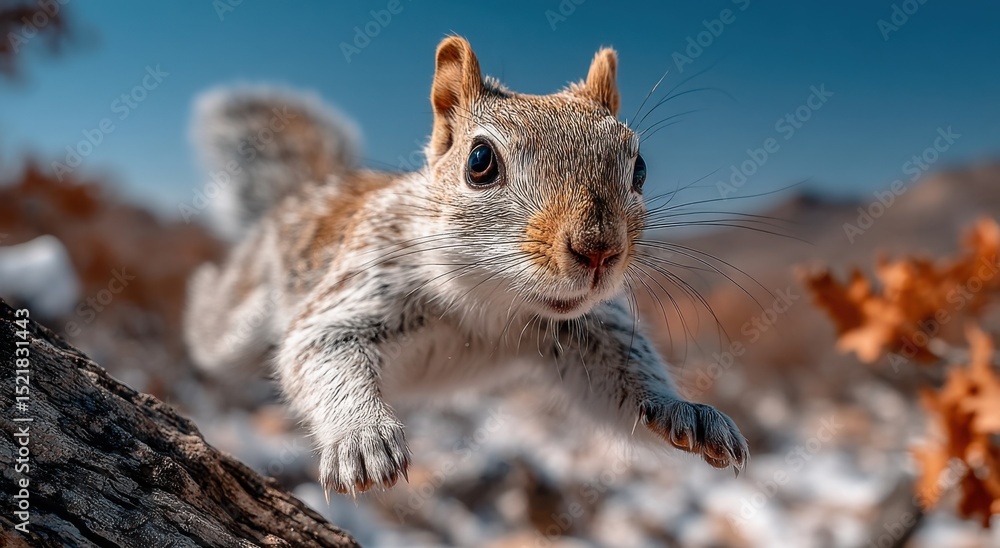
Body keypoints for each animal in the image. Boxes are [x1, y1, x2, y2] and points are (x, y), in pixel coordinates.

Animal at [184, 36, 748, 497]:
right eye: (480, 161)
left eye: (640, 168)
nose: (598, 250)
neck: (490, 300)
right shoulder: (358, 289)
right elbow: (320, 348)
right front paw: (361, 437)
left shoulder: (591, 331)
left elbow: (627, 382)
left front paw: (686, 412)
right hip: (242, 315)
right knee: (214, 329)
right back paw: (203, 287)